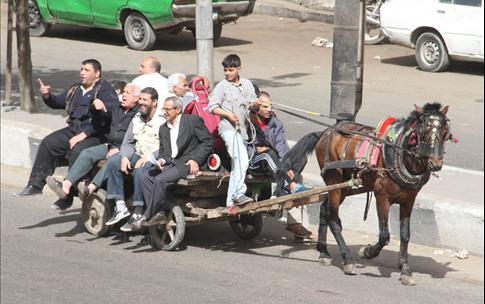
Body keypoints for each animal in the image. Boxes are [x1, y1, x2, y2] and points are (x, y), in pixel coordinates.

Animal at [278, 102, 452, 284]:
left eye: (445, 130)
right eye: (423, 129)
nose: (435, 163)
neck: (399, 154)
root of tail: (325, 132)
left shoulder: (408, 200)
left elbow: (405, 235)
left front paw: (405, 269)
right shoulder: (381, 196)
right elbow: (384, 235)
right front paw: (368, 252)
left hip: (344, 187)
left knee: (324, 210)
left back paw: (324, 252)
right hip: (334, 182)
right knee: (333, 218)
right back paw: (347, 259)